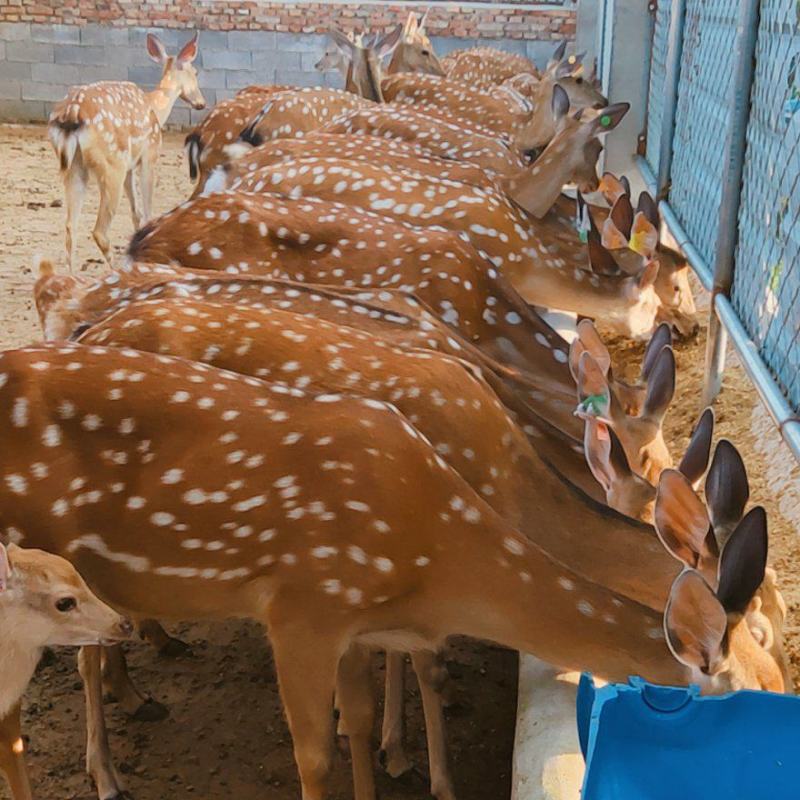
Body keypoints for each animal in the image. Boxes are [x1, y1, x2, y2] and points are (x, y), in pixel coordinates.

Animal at [48, 33, 205, 271]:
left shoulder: (131, 165)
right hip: (112, 163)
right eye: (195, 72)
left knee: (69, 227)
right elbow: (147, 211)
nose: (201, 103)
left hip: (74, 166)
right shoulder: (150, 153)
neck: (156, 108)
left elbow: (135, 213)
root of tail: (72, 113)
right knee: (99, 231)